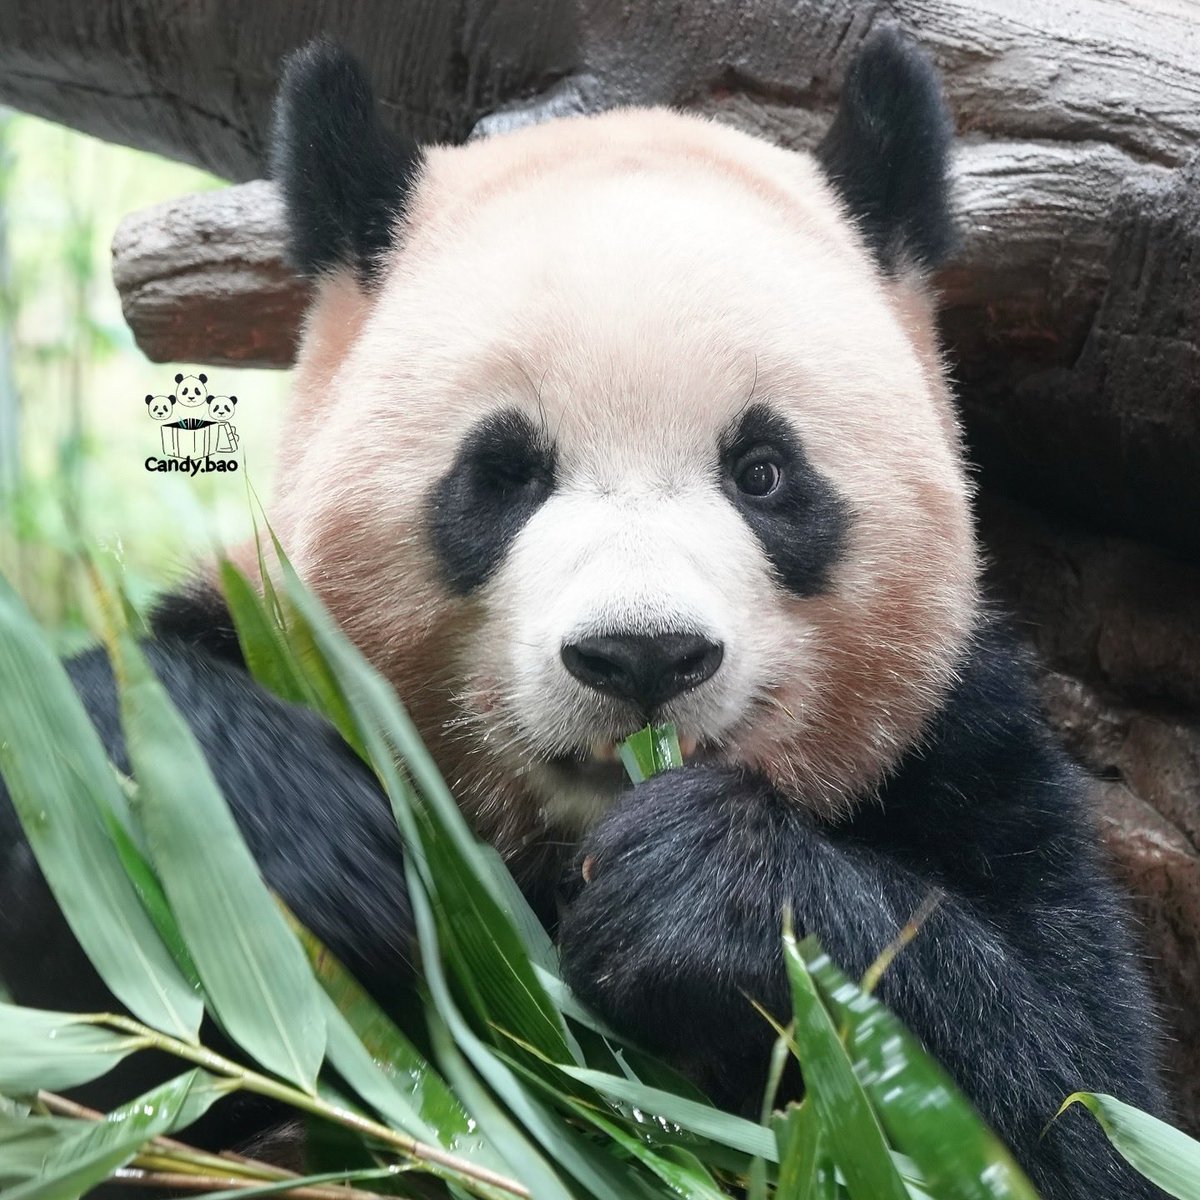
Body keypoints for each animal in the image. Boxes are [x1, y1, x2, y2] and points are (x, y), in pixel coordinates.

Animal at [0, 33, 1169, 1200]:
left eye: (763, 472)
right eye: (505, 474)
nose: (642, 657)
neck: (562, 849)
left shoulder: (959, 745)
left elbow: (1078, 1100)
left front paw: (701, 896)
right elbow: (97, 1030)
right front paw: (273, 819)